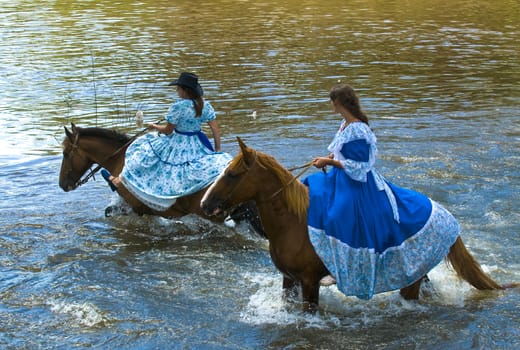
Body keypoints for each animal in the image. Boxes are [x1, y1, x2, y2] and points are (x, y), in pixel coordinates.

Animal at [201, 137, 510, 312]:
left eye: (233, 174)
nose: (205, 203)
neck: (293, 225)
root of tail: (446, 215)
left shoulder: (309, 283)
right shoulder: (288, 279)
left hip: (410, 280)